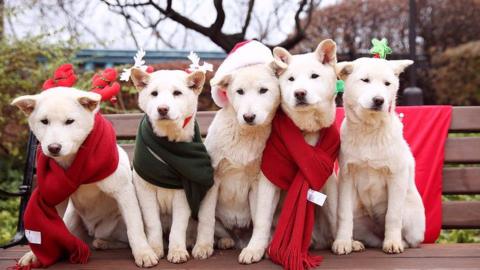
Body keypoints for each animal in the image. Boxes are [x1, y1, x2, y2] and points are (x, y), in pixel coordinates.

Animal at [12, 87, 158, 266]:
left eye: (70, 121)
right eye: (44, 121)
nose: (54, 147)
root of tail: (93, 231)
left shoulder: (123, 191)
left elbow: (135, 228)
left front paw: (143, 253)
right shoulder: (56, 198)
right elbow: (47, 228)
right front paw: (35, 255)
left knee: (123, 239)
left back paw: (104, 242)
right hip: (71, 218)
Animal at [129, 67, 216, 264]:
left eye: (177, 93)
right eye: (154, 93)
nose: (162, 109)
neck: (167, 141)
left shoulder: (183, 193)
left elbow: (179, 226)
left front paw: (177, 251)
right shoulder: (145, 190)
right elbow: (153, 223)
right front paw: (154, 249)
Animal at [240, 38, 342, 264]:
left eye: (314, 76)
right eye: (291, 79)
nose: (299, 93)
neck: (306, 130)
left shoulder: (328, 179)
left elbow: (335, 214)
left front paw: (343, 240)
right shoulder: (269, 179)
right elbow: (262, 219)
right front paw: (254, 248)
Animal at [332, 57, 426, 255]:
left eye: (387, 84)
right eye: (365, 80)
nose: (379, 100)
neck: (369, 131)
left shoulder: (396, 176)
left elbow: (393, 215)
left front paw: (393, 243)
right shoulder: (346, 176)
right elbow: (344, 214)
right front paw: (342, 242)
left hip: (411, 217)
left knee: (410, 239)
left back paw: (396, 241)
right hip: (360, 216)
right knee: (368, 237)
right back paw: (355, 242)